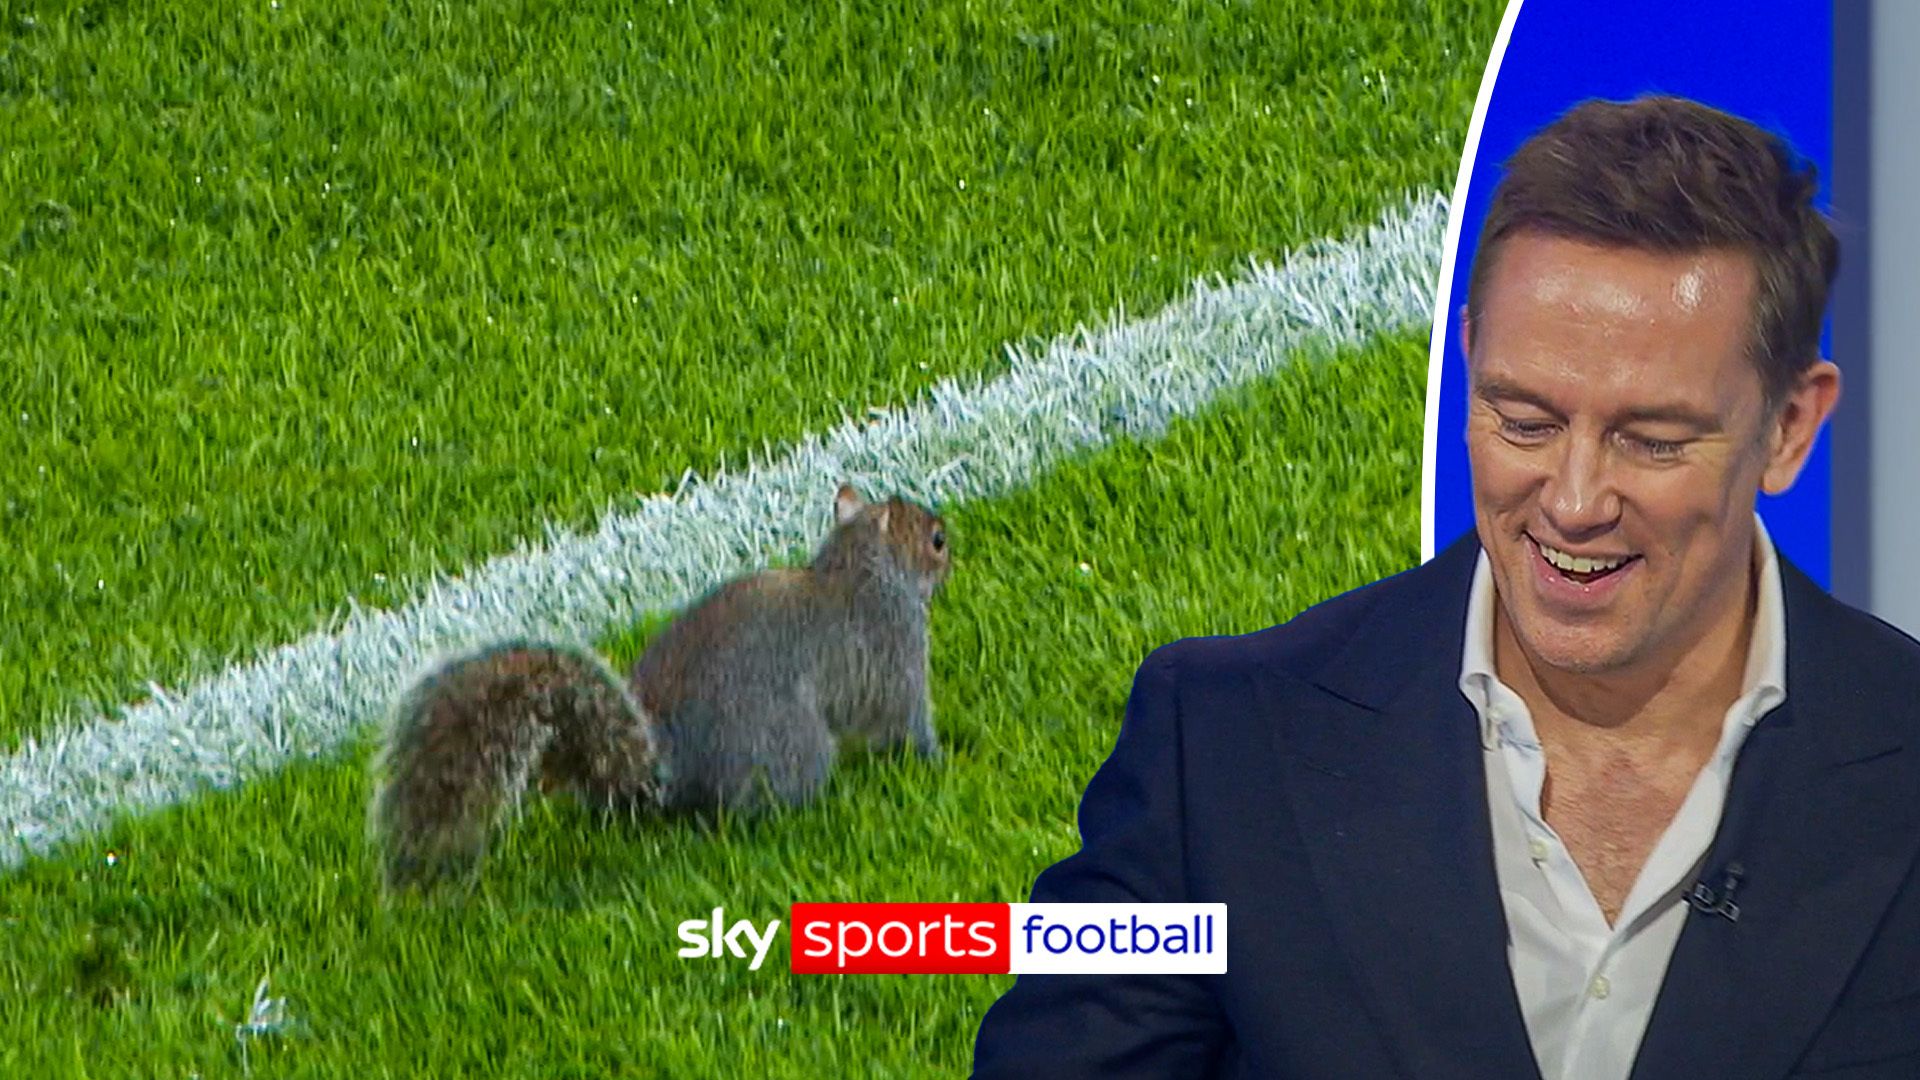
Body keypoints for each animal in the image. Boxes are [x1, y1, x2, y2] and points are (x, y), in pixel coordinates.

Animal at [367, 483, 952, 891]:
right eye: (936, 539)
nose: (952, 551)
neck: (859, 568)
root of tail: (671, 772)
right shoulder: (893, 650)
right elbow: (905, 719)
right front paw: (942, 758)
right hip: (794, 747)